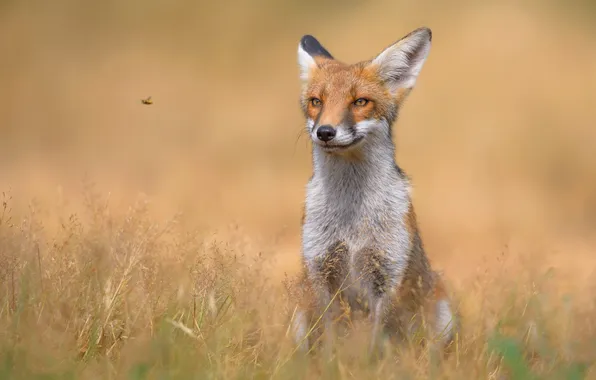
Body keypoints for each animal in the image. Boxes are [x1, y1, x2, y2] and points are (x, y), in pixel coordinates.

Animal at [292, 28, 458, 358]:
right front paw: (332, 364)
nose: (325, 132)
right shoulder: (320, 269)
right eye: (317, 101)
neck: (352, 219)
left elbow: (380, 340)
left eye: (360, 101)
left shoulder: (389, 273)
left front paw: (371, 364)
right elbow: (330, 337)